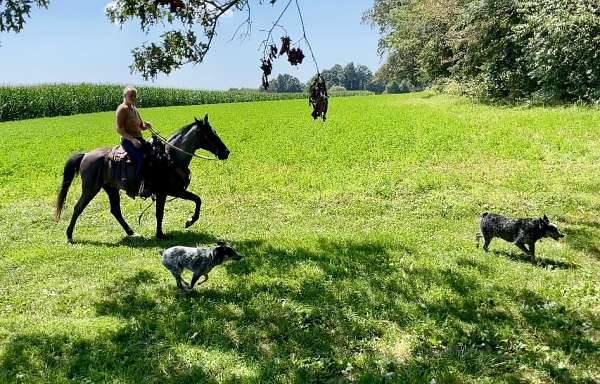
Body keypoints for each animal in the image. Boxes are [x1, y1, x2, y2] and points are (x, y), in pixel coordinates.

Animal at [54, 112, 230, 243]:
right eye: (211, 134)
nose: (226, 152)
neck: (170, 158)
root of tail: (85, 155)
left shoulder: (168, 192)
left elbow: (194, 201)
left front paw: (169, 229)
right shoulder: (171, 191)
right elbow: (170, 210)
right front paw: (182, 224)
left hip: (110, 188)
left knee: (115, 210)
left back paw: (131, 232)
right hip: (90, 188)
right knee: (78, 208)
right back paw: (69, 236)